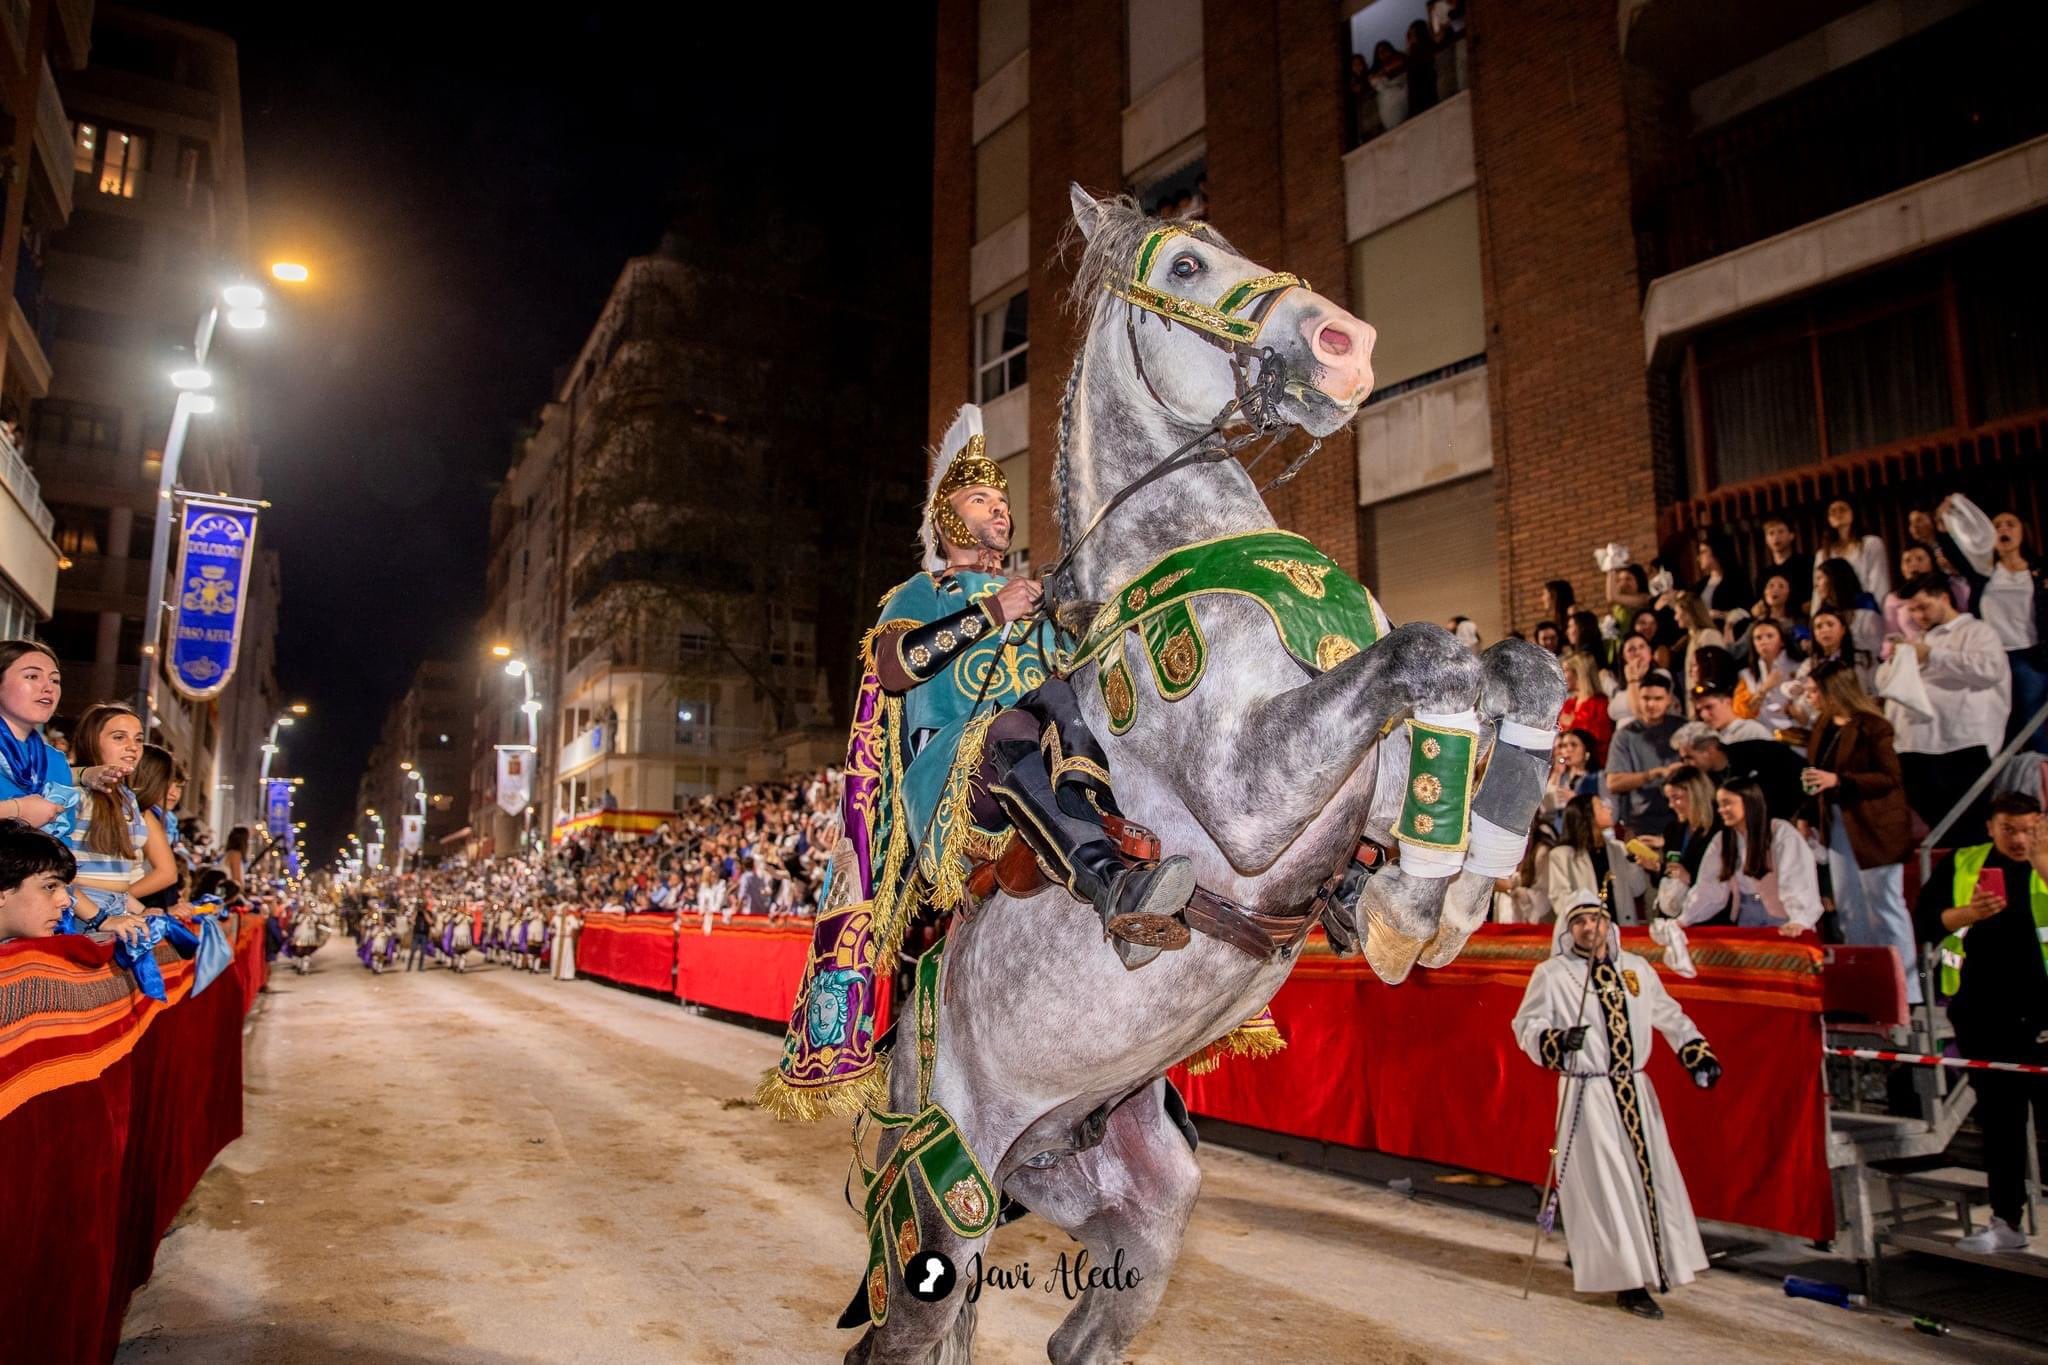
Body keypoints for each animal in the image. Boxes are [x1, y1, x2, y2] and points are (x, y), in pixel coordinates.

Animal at [839, 189, 1556, 1365]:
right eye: (1183, 265)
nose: (1345, 344)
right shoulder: (1248, 791)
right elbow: (1426, 653)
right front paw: (1418, 900)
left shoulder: (1360, 759)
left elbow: (1508, 667)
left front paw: (1439, 889)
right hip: (947, 1203)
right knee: (903, 1334)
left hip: (1140, 1205)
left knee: (1074, 1341)